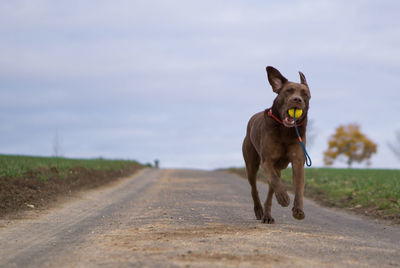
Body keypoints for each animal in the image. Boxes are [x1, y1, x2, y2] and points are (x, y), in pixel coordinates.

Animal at [242, 66, 310, 223]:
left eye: (305, 93)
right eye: (288, 91)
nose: (297, 99)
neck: (285, 131)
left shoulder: (298, 161)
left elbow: (299, 186)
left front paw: (298, 210)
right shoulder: (266, 161)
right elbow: (274, 180)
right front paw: (284, 198)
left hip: (277, 167)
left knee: (270, 191)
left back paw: (267, 215)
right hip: (251, 164)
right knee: (254, 188)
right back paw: (259, 210)